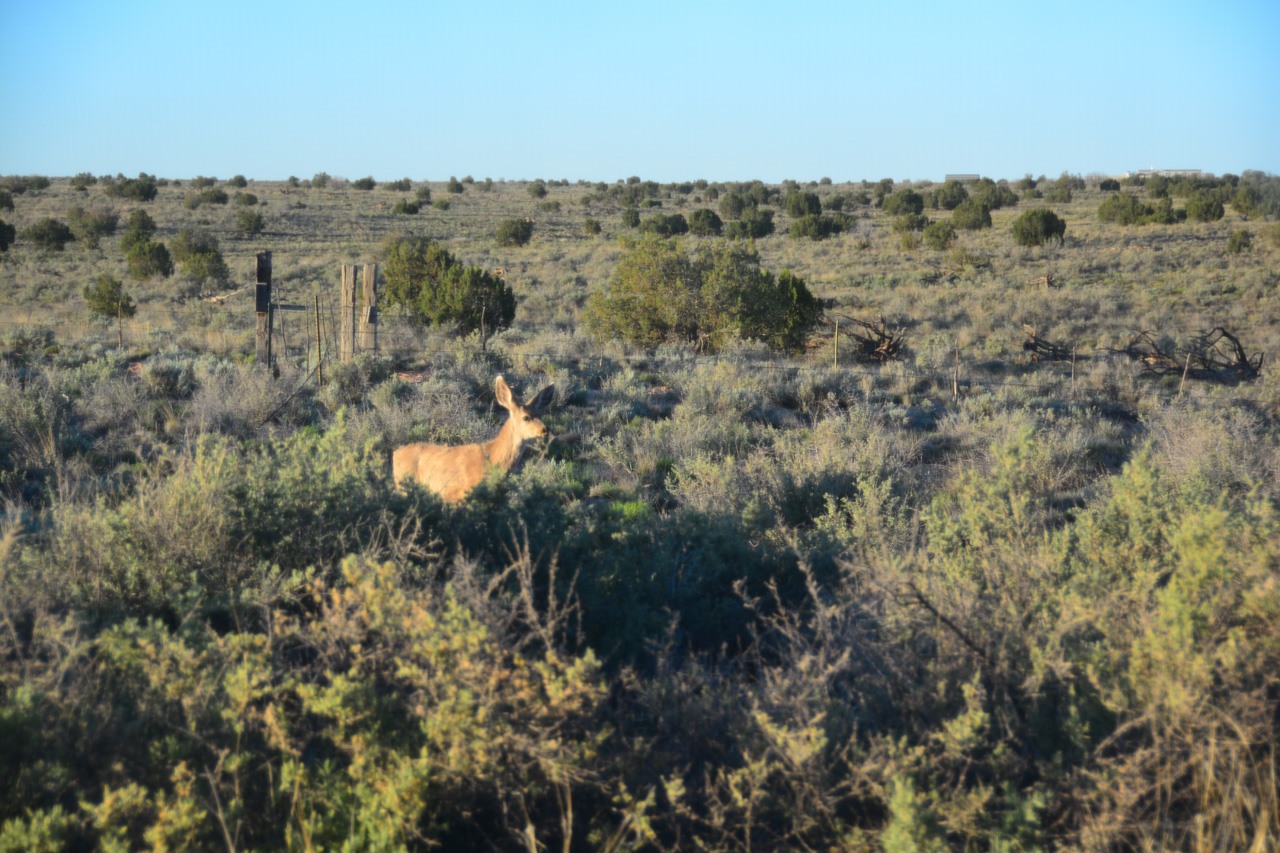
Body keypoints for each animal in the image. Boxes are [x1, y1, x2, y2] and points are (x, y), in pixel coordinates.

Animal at [389, 376, 550, 502]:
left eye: (540, 414)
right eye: (526, 417)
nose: (545, 429)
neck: (493, 458)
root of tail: (395, 453)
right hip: (405, 486)